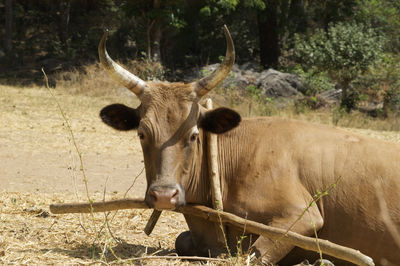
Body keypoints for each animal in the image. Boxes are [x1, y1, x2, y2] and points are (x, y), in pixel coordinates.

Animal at [97, 26, 400, 264]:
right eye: (142, 133)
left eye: (194, 135)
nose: (163, 195)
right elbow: (182, 241)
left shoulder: (302, 215)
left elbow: (256, 254)